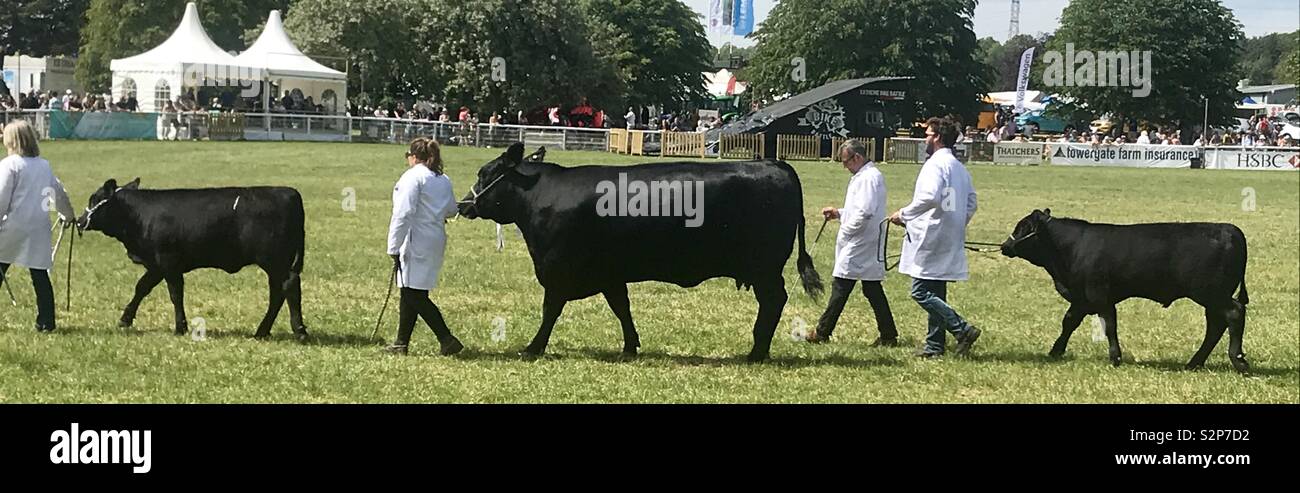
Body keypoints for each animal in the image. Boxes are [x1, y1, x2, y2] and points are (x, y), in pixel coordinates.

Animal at [76, 178, 308, 340]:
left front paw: (180, 327)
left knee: (289, 286)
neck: (138, 216)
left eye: (94, 198)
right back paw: (262, 331)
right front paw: (125, 319)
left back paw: (299, 331)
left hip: (274, 260)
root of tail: (289, 192)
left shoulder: (168, 262)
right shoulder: (157, 264)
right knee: (278, 293)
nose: (79, 221)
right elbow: (142, 287)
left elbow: (175, 294)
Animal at [458, 142, 823, 361]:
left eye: (485, 173)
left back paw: (756, 352)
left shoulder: (558, 271)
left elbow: (550, 312)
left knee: (773, 302)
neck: (538, 196)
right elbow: (622, 309)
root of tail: (774, 163)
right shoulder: (609, 274)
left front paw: (533, 348)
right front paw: (630, 347)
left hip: (764, 269)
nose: (463, 204)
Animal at [1000, 209, 1249, 373]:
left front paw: (1115, 357)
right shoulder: (1082, 298)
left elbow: (1109, 325)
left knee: (1233, 314)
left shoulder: (1099, 295)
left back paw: (1238, 360)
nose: (1004, 246)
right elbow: (1069, 321)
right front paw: (1056, 351)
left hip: (1212, 293)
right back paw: (1194, 363)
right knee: (1216, 325)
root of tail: (1229, 229)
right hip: (1211, 297)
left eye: (1023, 228)